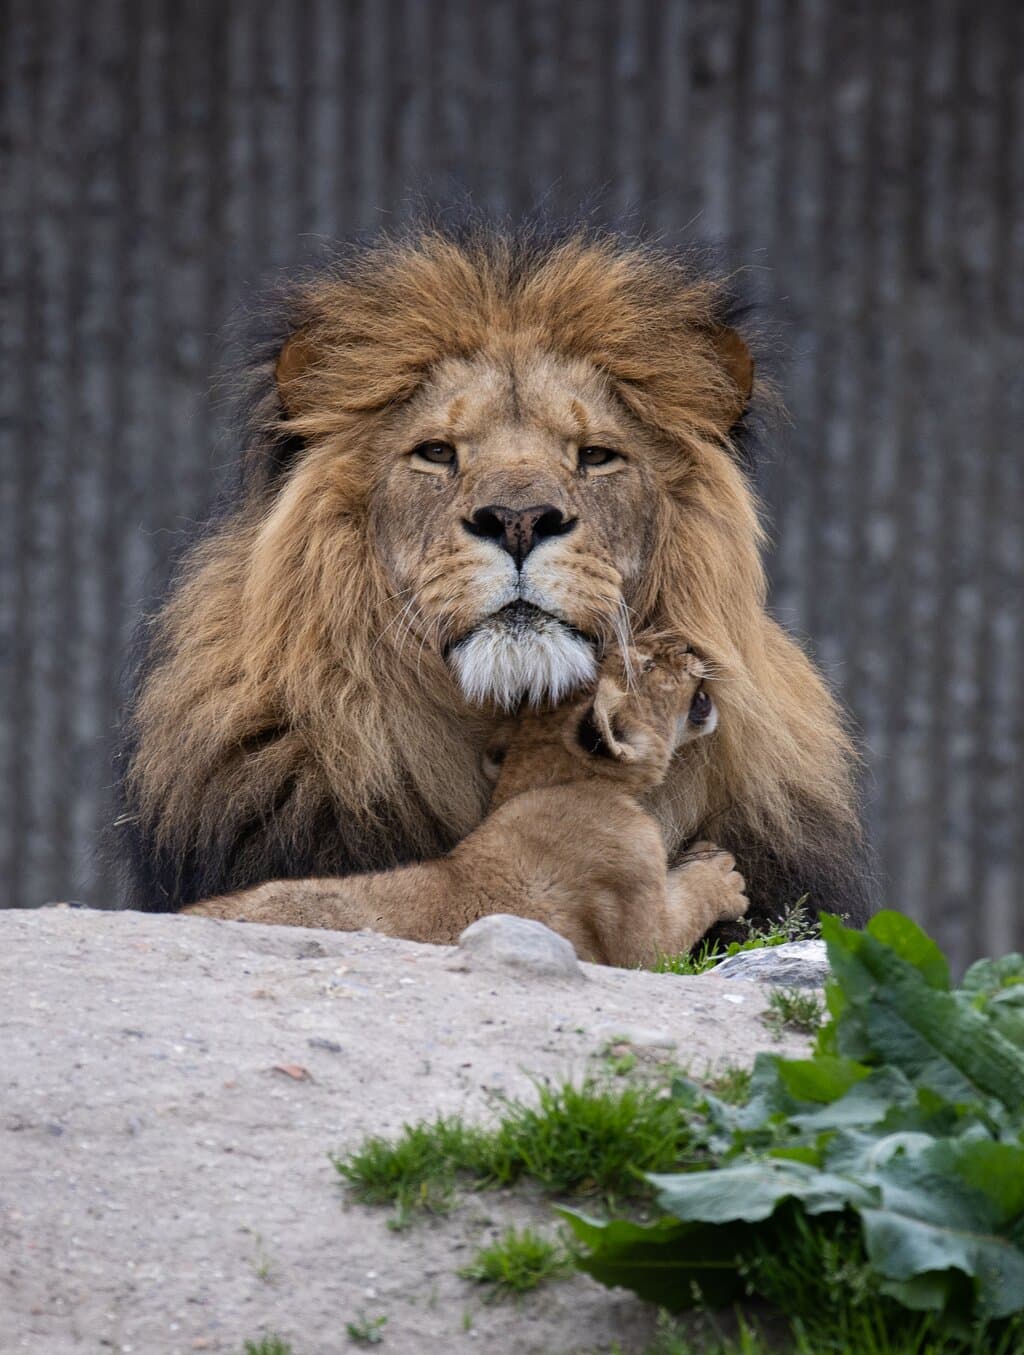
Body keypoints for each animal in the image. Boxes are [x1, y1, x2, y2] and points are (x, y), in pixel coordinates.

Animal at [185, 639, 748, 966]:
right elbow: (682, 912)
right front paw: (721, 875)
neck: (546, 781)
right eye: (649, 664)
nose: (690, 644)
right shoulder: (636, 930)